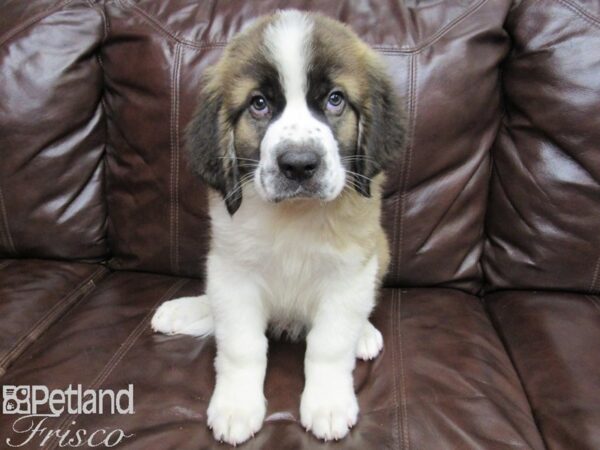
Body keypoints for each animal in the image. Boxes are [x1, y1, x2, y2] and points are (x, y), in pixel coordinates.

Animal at [151, 9, 404, 446]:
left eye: (335, 100)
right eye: (259, 104)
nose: (299, 165)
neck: (294, 216)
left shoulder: (348, 273)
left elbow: (329, 345)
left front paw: (328, 404)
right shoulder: (232, 273)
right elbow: (241, 346)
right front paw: (236, 406)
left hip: (380, 249)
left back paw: (365, 334)